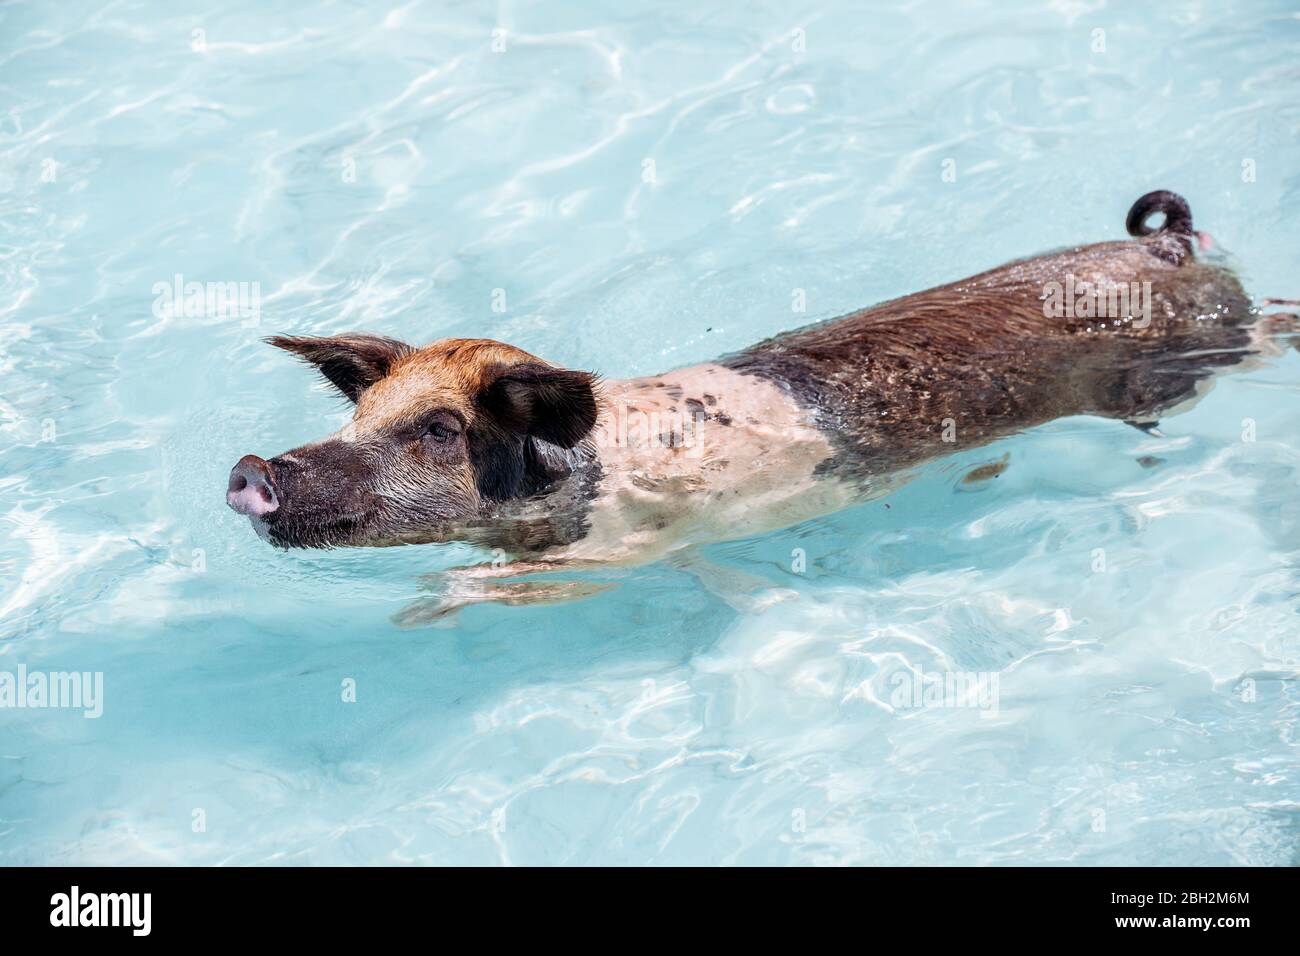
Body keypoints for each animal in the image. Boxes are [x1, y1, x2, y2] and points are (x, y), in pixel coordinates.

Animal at [226, 191, 1289, 616]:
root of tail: (1169, 244)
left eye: (444, 428)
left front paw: (422, 608)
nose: (252, 466)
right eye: (360, 417)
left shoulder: (630, 547)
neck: (589, 474)